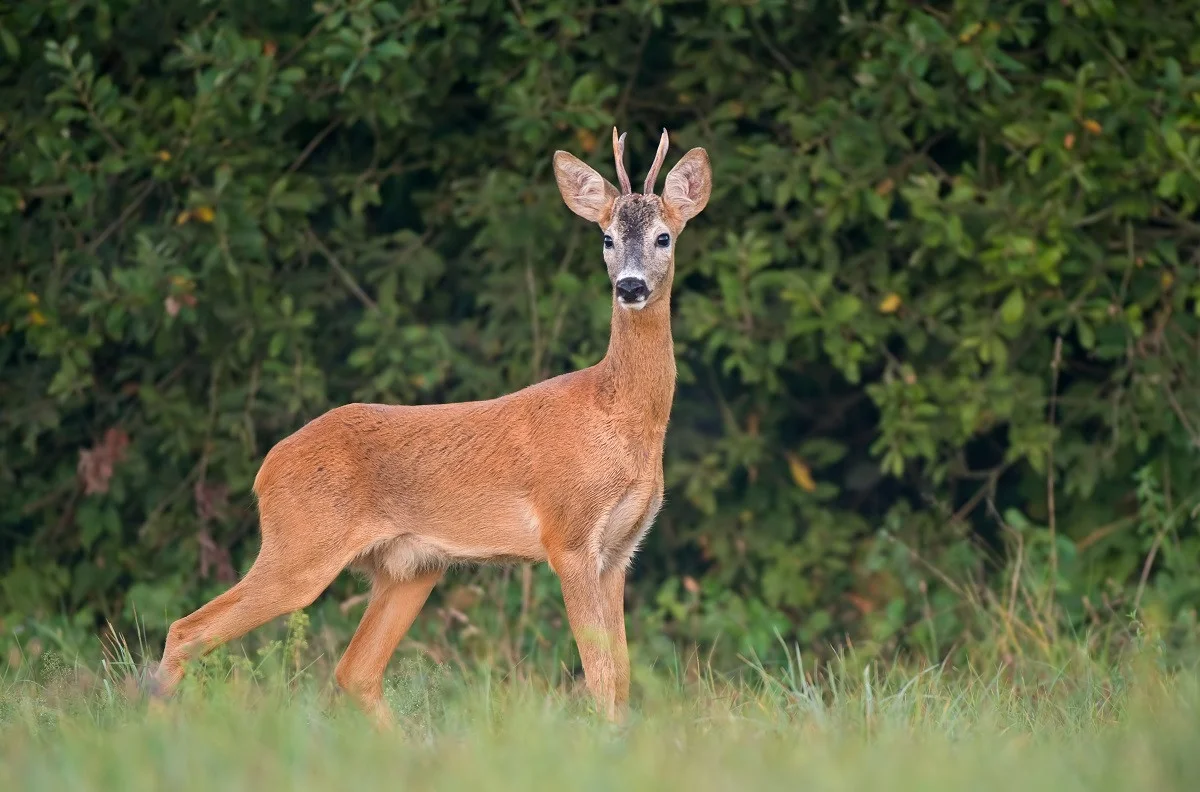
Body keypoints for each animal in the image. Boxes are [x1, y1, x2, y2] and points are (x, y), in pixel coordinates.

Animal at [150, 126, 710, 724]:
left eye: (663, 237)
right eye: (606, 238)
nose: (630, 287)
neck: (620, 419)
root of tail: (266, 469)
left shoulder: (619, 552)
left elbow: (621, 678)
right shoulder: (570, 536)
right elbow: (601, 677)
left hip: (410, 569)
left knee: (355, 670)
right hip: (299, 546)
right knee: (187, 629)